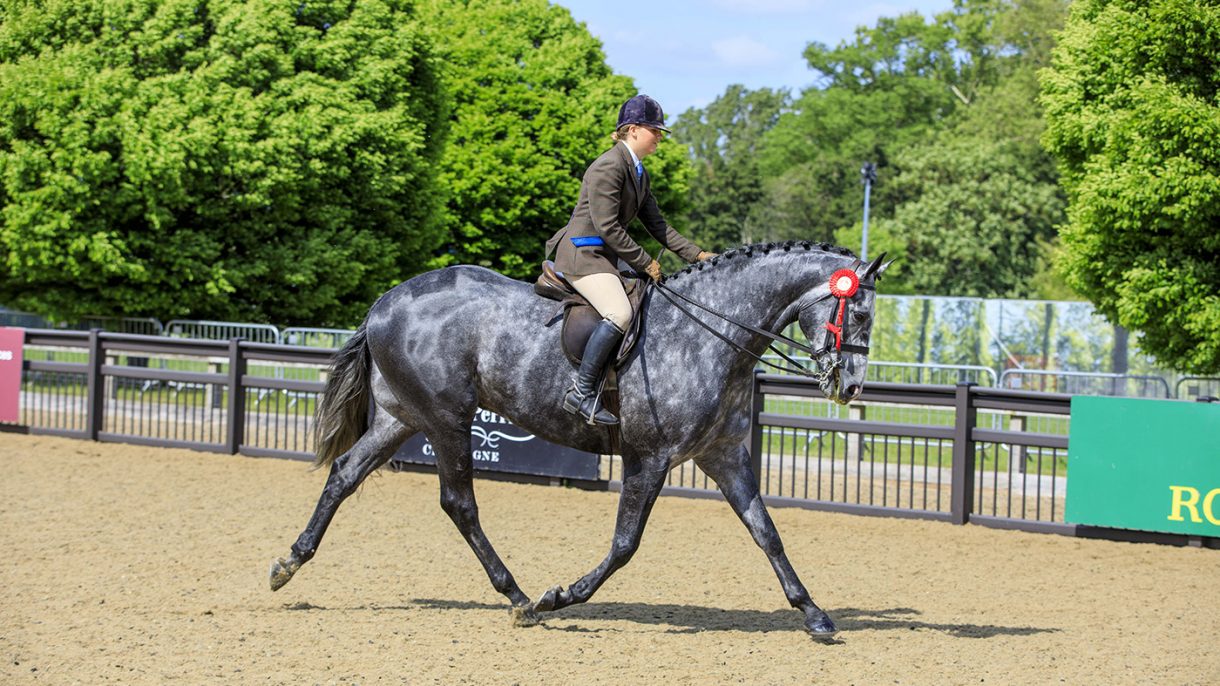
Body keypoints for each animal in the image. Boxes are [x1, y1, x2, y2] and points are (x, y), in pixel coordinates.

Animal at [269, 240, 888, 641]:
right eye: (858, 312)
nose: (852, 387)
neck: (713, 333)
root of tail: (384, 302)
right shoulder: (650, 458)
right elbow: (625, 545)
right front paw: (561, 596)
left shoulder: (725, 457)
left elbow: (768, 534)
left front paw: (815, 616)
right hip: (447, 420)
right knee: (458, 503)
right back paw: (520, 599)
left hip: (402, 418)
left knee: (346, 473)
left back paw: (289, 563)